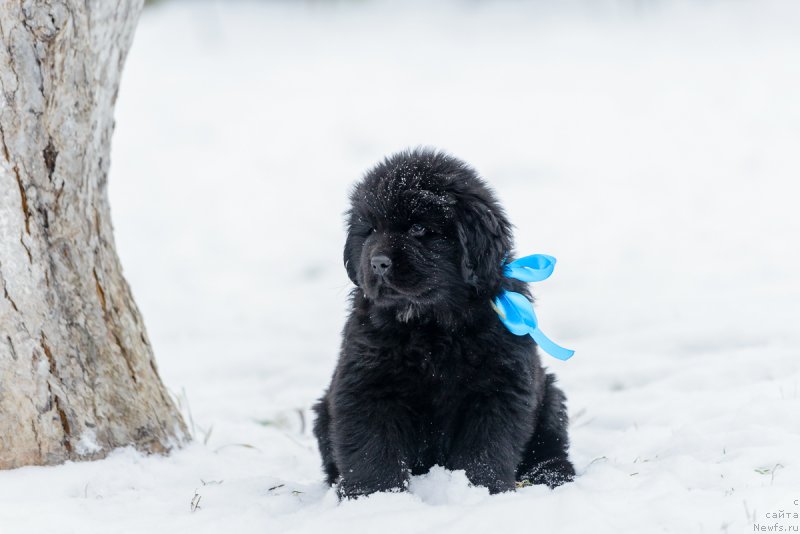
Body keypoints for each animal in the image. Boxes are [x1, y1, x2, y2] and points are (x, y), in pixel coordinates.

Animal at [312, 149, 576, 500]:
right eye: (370, 230)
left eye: (419, 228)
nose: (378, 263)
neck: (431, 326)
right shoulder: (366, 383)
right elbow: (372, 447)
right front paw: (374, 496)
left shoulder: (498, 387)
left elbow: (485, 447)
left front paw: (481, 490)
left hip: (550, 397)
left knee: (550, 446)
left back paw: (552, 475)